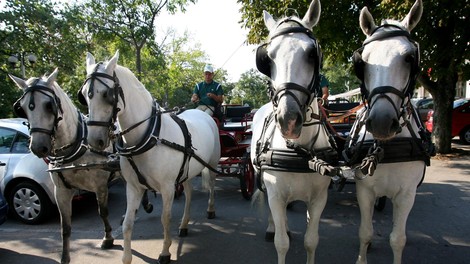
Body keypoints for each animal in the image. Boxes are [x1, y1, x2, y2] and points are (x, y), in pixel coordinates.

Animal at [9, 68, 117, 264]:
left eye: (48, 105)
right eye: (22, 108)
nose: (38, 147)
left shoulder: (100, 186)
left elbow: (103, 212)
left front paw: (107, 238)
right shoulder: (61, 192)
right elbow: (65, 227)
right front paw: (64, 257)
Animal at [79, 51, 220, 264]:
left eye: (106, 94)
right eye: (84, 95)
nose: (95, 140)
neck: (149, 136)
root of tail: (203, 113)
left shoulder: (168, 187)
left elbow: (165, 218)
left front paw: (165, 252)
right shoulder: (133, 187)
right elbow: (128, 223)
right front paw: (126, 258)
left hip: (211, 164)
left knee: (211, 185)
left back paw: (210, 210)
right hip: (186, 170)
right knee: (188, 193)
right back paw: (184, 225)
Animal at [252, 1, 336, 262]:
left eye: (311, 54)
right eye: (267, 58)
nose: (288, 119)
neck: (301, 152)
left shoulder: (319, 198)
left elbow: (311, 240)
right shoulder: (275, 194)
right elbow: (281, 244)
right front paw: (277, 234)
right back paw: (273, 227)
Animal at [346, 1, 432, 262]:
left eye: (410, 58)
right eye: (362, 62)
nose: (381, 122)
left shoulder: (406, 195)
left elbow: (397, 239)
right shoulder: (364, 189)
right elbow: (365, 232)